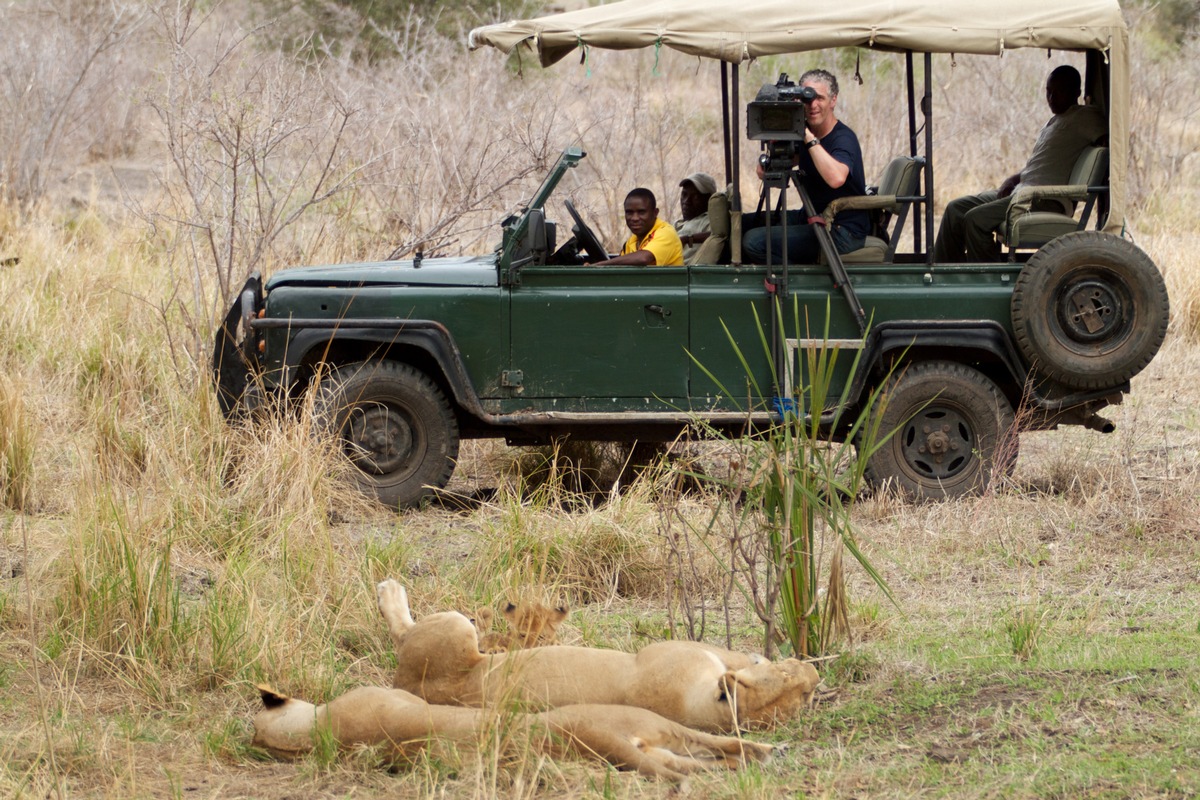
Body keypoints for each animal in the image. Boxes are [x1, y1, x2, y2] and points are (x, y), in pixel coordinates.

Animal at [379, 578, 820, 734]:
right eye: (800, 691)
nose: (814, 675)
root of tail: (406, 683)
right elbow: (734, 655)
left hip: (453, 629)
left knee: (404, 632)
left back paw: (391, 589)